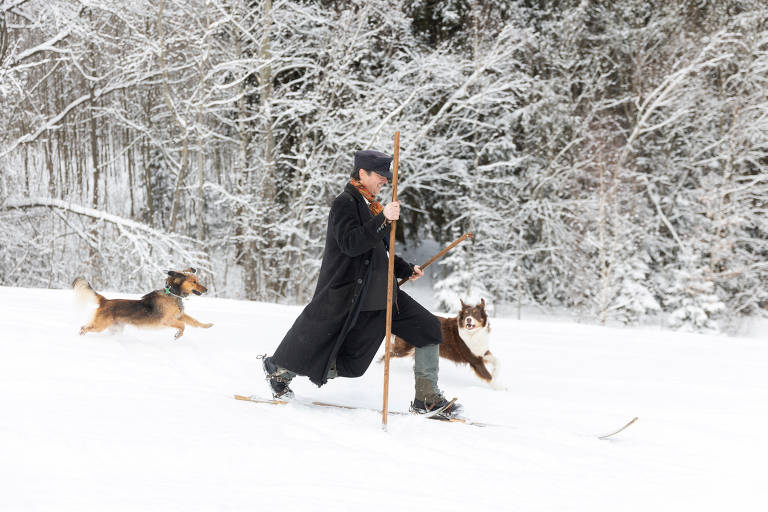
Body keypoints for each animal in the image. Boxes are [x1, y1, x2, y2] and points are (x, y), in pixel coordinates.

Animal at [74, 268, 213, 340]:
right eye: (194, 282)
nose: (206, 289)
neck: (173, 294)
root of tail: (105, 301)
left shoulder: (180, 315)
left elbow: (194, 321)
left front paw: (207, 325)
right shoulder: (167, 320)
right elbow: (182, 325)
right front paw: (178, 335)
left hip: (115, 328)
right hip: (99, 325)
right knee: (83, 328)